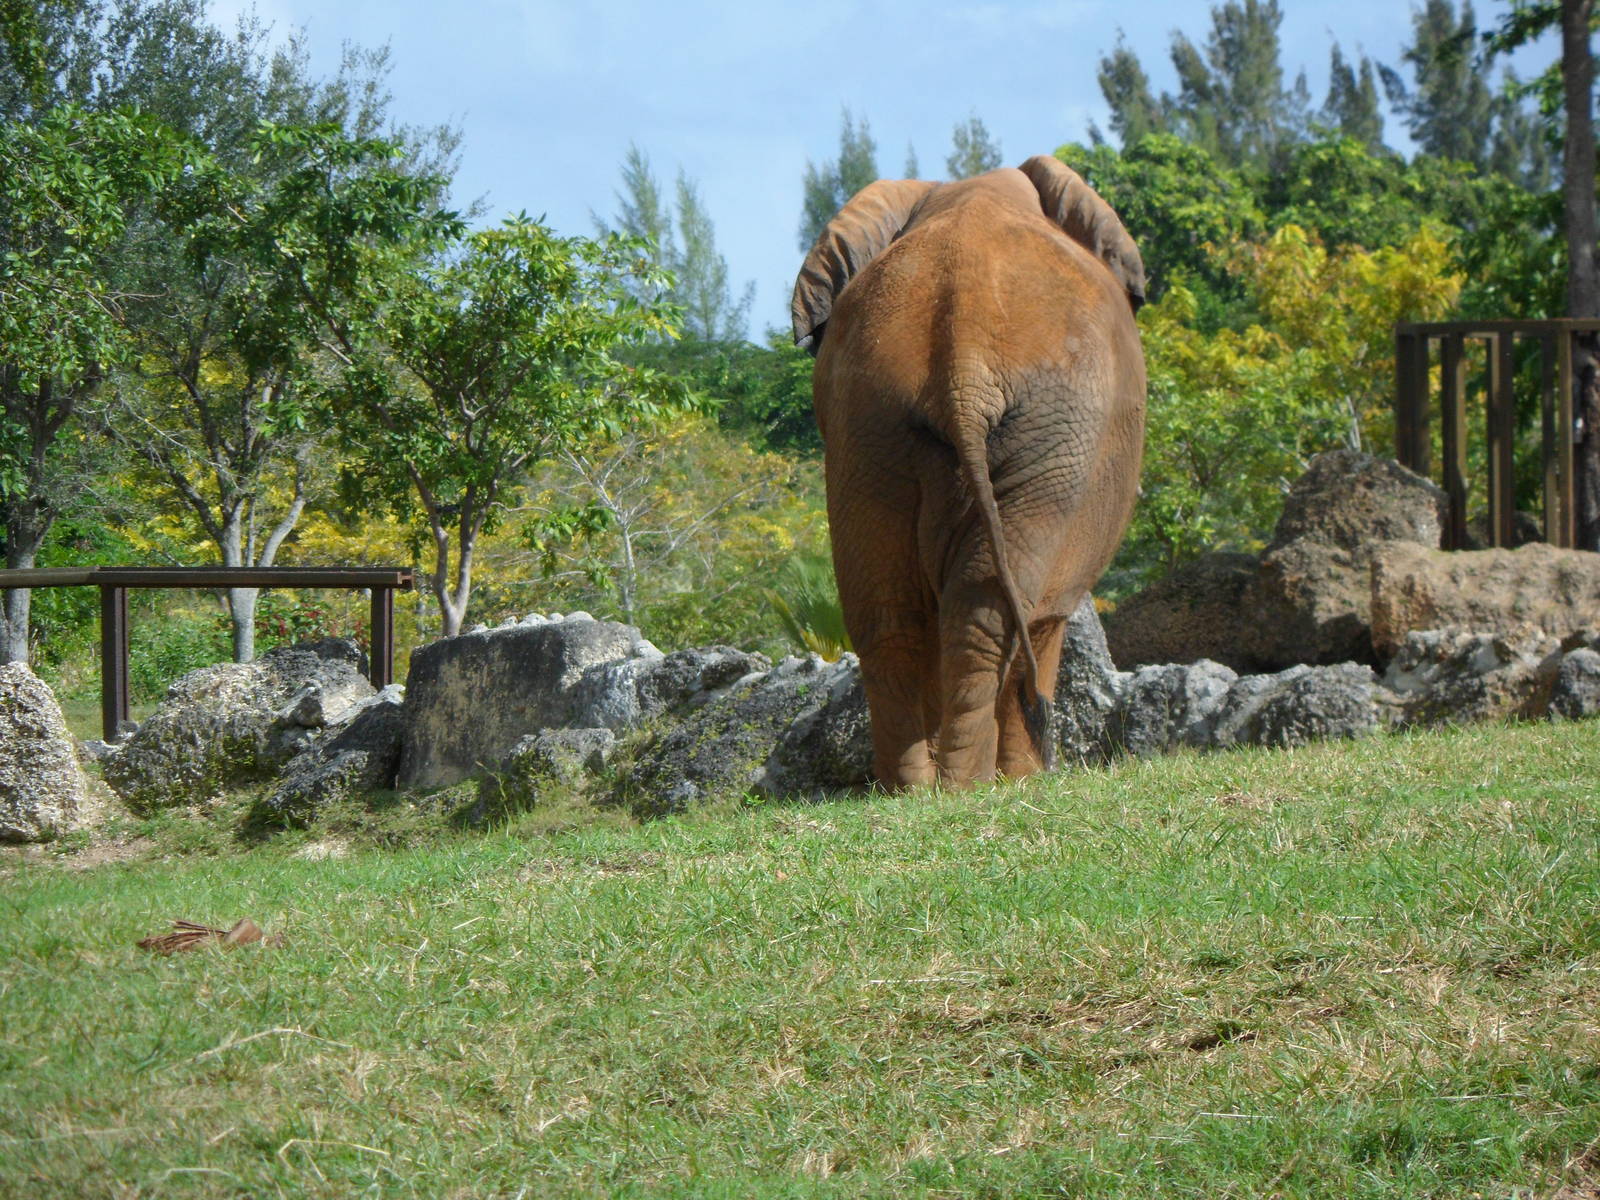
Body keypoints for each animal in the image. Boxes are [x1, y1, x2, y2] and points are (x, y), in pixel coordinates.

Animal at [790, 155, 1146, 789]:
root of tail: (963, 360)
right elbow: (1047, 615)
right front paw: (1025, 778)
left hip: (870, 419)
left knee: (886, 610)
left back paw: (911, 788)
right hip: (1059, 430)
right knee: (1003, 609)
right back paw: (974, 783)